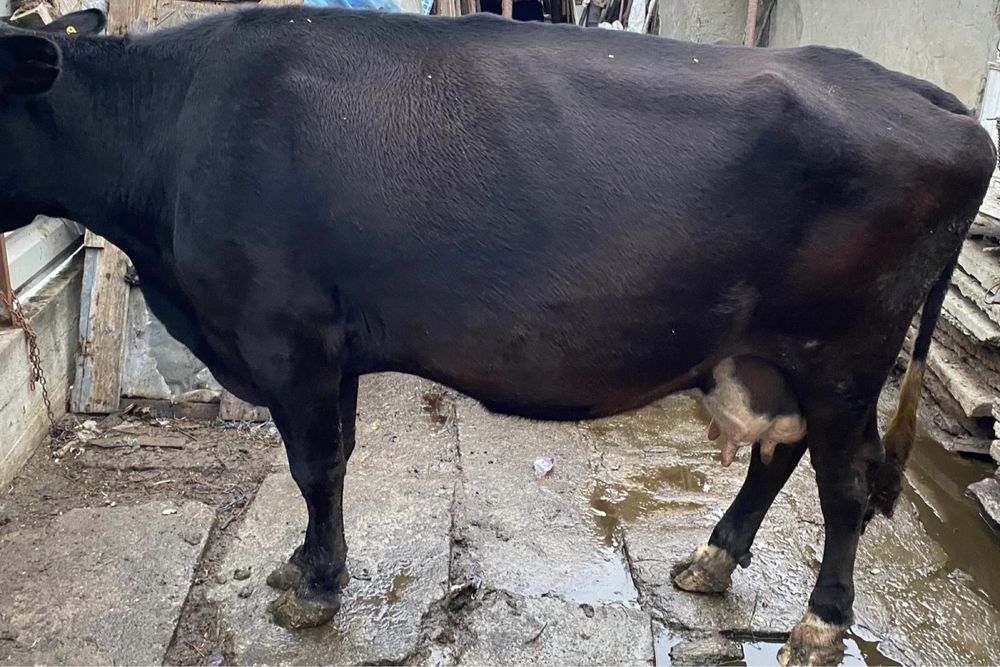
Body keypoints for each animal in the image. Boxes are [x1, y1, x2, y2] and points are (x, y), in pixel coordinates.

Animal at [0, 8, 993, 665]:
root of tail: (933, 100)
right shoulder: (332, 346)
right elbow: (334, 460)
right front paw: (307, 567)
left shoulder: (290, 338)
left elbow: (313, 465)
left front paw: (316, 589)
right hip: (771, 355)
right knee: (779, 454)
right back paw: (712, 560)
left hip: (845, 354)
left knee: (845, 483)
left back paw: (821, 621)